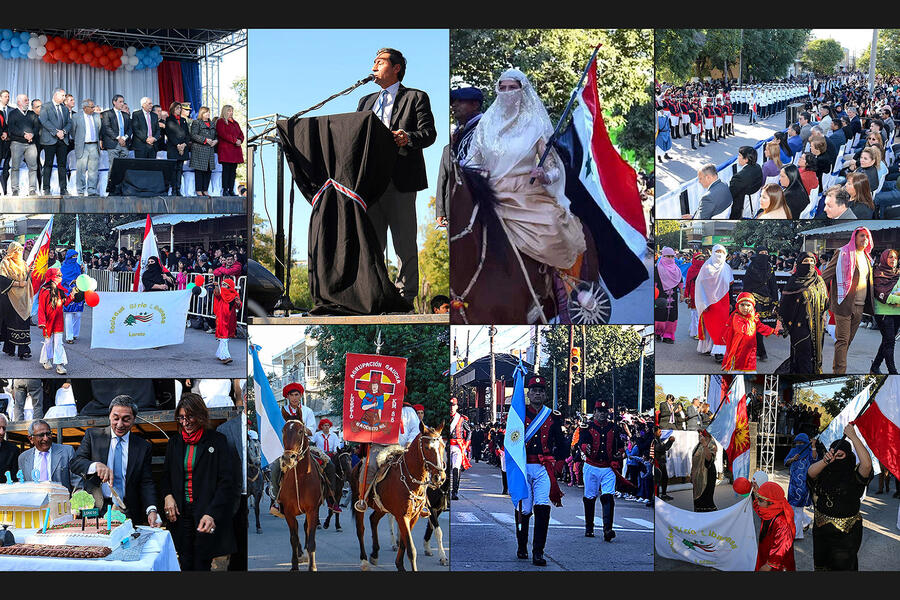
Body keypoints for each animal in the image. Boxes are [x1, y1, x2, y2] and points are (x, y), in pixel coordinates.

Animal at [282, 412, 326, 572]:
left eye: (301, 431)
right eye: (283, 430)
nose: (288, 458)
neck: (300, 478)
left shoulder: (312, 510)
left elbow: (311, 538)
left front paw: (312, 566)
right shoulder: (288, 512)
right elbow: (293, 539)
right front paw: (294, 565)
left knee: (306, 529)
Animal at [354, 424, 448, 568]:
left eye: (443, 446)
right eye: (427, 447)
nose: (440, 477)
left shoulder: (413, 516)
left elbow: (405, 543)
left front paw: (399, 565)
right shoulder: (402, 516)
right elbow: (411, 549)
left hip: (381, 507)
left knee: (373, 519)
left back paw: (374, 554)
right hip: (360, 503)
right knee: (360, 530)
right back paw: (364, 560)